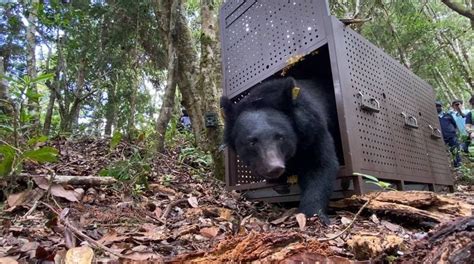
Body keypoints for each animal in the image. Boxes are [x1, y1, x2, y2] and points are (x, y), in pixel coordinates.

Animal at [220, 77, 338, 223]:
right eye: (252, 142)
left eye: (280, 137)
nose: (274, 168)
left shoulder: (314, 130)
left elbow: (320, 165)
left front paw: (312, 214)